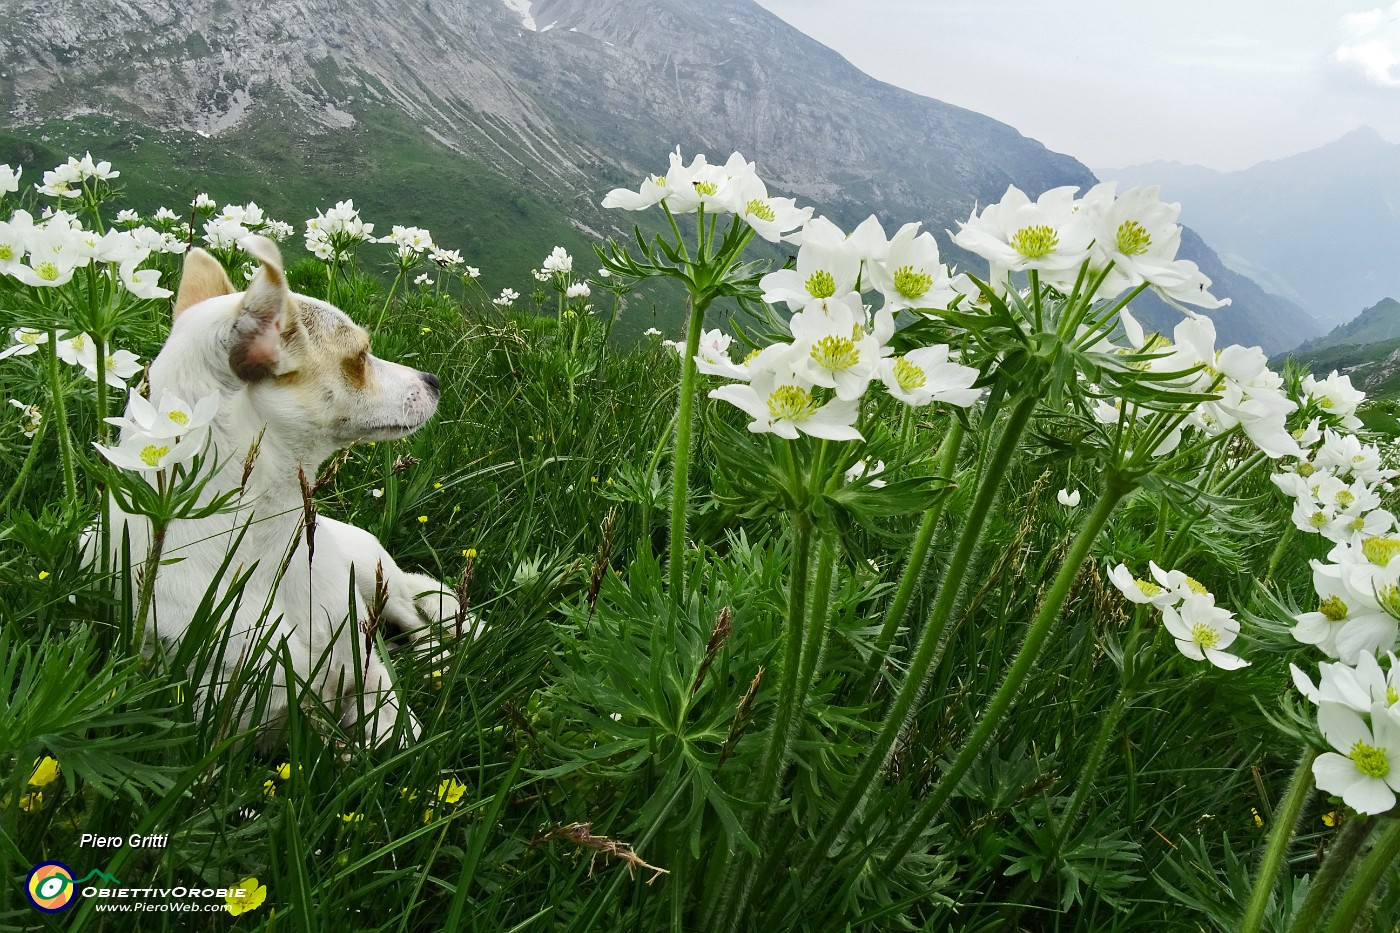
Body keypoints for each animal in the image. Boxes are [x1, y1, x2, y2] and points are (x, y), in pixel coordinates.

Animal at [106, 236, 464, 745]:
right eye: (360, 356)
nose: (433, 381)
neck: (269, 547)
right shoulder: (243, 720)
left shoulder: (365, 664)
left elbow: (398, 725)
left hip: (376, 581)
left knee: (415, 619)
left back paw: (438, 659)